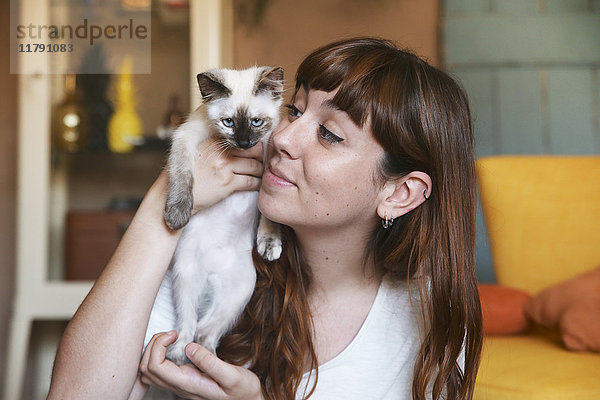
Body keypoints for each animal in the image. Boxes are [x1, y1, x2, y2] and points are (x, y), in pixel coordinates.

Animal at [146, 66, 284, 366]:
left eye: (256, 122)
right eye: (228, 122)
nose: (244, 143)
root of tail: (212, 273)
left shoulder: (271, 162)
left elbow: (270, 214)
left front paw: (269, 244)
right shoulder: (185, 137)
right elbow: (183, 176)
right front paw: (177, 215)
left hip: (241, 289)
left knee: (205, 330)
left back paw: (208, 360)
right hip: (186, 279)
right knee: (190, 326)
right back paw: (180, 355)